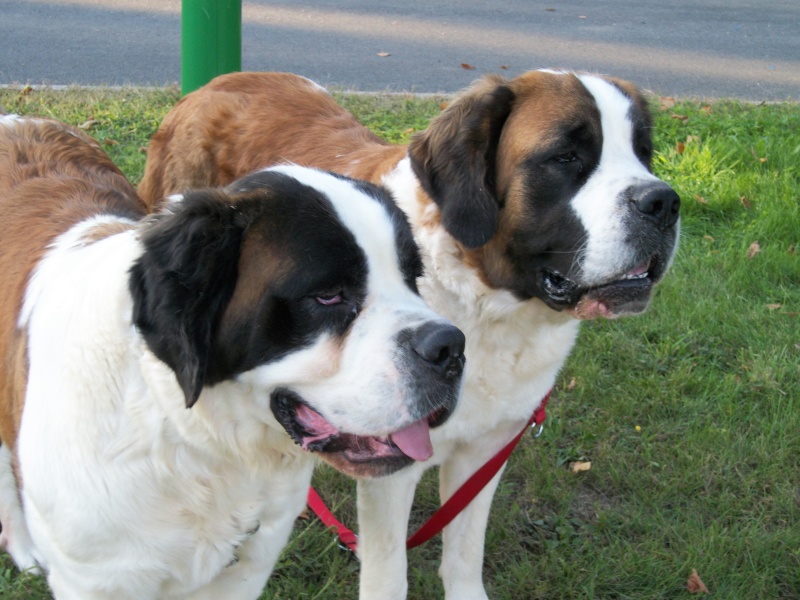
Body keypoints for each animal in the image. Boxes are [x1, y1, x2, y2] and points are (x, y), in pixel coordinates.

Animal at [0, 115, 466, 596]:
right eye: (328, 296)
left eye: (413, 279)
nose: (450, 347)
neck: (195, 441)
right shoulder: (94, 578)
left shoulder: (251, 560)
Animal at [141, 68, 680, 596]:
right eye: (566, 157)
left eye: (644, 152)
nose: (664, 202)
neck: (486, 307)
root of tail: (210, 86)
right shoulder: (392, 464)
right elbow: (389, 572)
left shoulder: (487, 451)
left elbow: (464, 555)